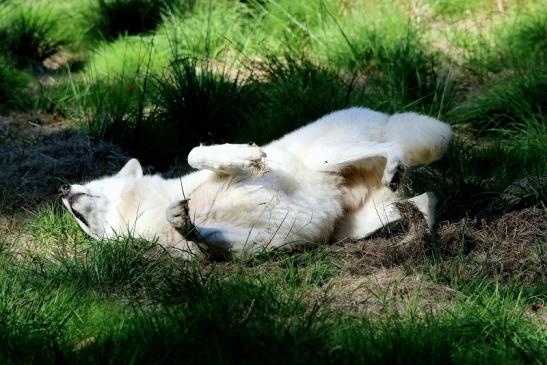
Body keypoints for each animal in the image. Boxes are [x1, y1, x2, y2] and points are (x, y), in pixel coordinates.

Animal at [60, 107, 454, 256]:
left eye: (93, 181)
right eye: (82, 225)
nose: (61, 189)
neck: (146, 211)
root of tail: (383, 115)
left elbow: (194, 153)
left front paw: (247, 156)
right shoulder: (256, 242)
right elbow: (204, 241)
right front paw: (184, 221)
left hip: (330, 157)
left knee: (393, 150)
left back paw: (394, 170)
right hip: (358, 224)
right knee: (427, 200)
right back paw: (416, 238)